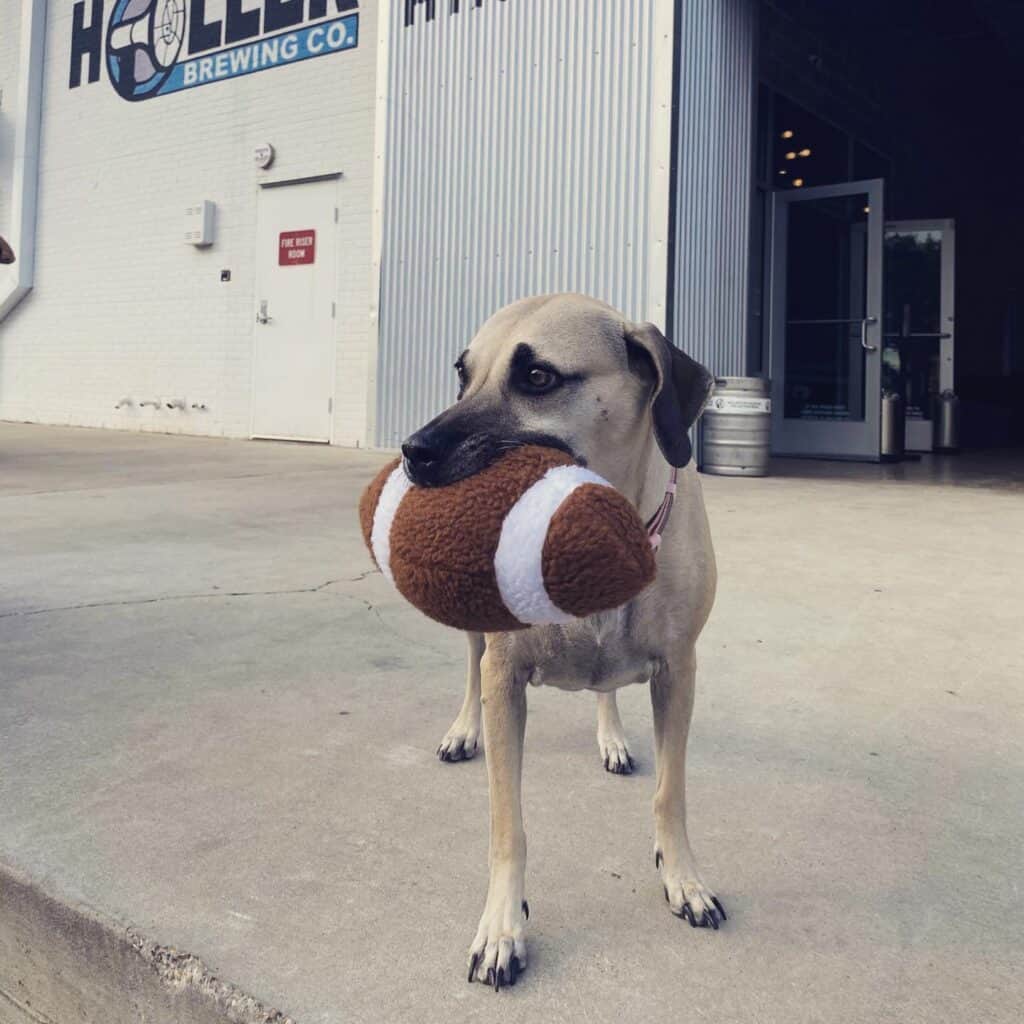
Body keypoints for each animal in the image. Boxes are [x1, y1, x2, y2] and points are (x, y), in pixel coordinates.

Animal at [399, 292, 720, 987]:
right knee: (471, 668)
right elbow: (507, 825)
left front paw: (683, 878)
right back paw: (463, 730)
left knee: (607, 687)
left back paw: (612, 736)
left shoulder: (678, 672)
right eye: (463, 374)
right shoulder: (505, 677)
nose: (413, 450)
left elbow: (671, 794)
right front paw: (501, 926)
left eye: (537, 376)